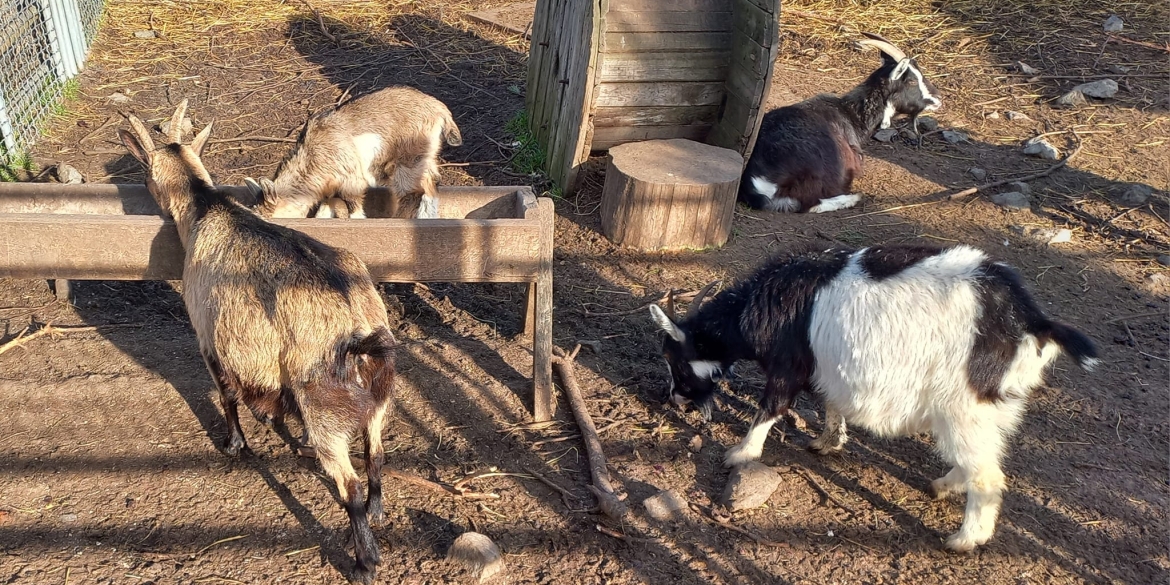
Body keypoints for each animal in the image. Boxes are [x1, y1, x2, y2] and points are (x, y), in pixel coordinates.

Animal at [118, 101, 395, 585]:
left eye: (146, 173)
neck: (209, 210)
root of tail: (359, 328)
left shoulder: (208, 335)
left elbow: (227, 393)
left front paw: (235, 444)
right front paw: (273, 422)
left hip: (322, 402)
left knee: (350, 483)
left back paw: (365, 561)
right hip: (378, 396)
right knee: (376, 454)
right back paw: (377, 511)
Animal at [248, 87, 460, 221]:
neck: (311, 154)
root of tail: (438, 109)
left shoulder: (350, 179)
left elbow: (353, 206)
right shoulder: (329, 186)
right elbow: (325, 207)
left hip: (407, 157)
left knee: (413, 193)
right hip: (424, 157)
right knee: (431, 184)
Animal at [650, 244, 1095, 549]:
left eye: (676, 362)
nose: (671, 400)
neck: (773, 303)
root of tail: (1031, 321)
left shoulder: (787, 366)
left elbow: (771, 408)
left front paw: (741, 453)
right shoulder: (826, 370)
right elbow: (831, 403)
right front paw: (828, 442)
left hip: (963, 405)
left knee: (987, 475)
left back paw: (965, 540)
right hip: (990, 406)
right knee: (983, 456)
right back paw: (944, 485)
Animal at [739, 34, 940, 214]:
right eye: (912, 80)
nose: (938, 98)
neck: (850, 114)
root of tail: (755, 182)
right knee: (809, 204)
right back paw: (852, 198)